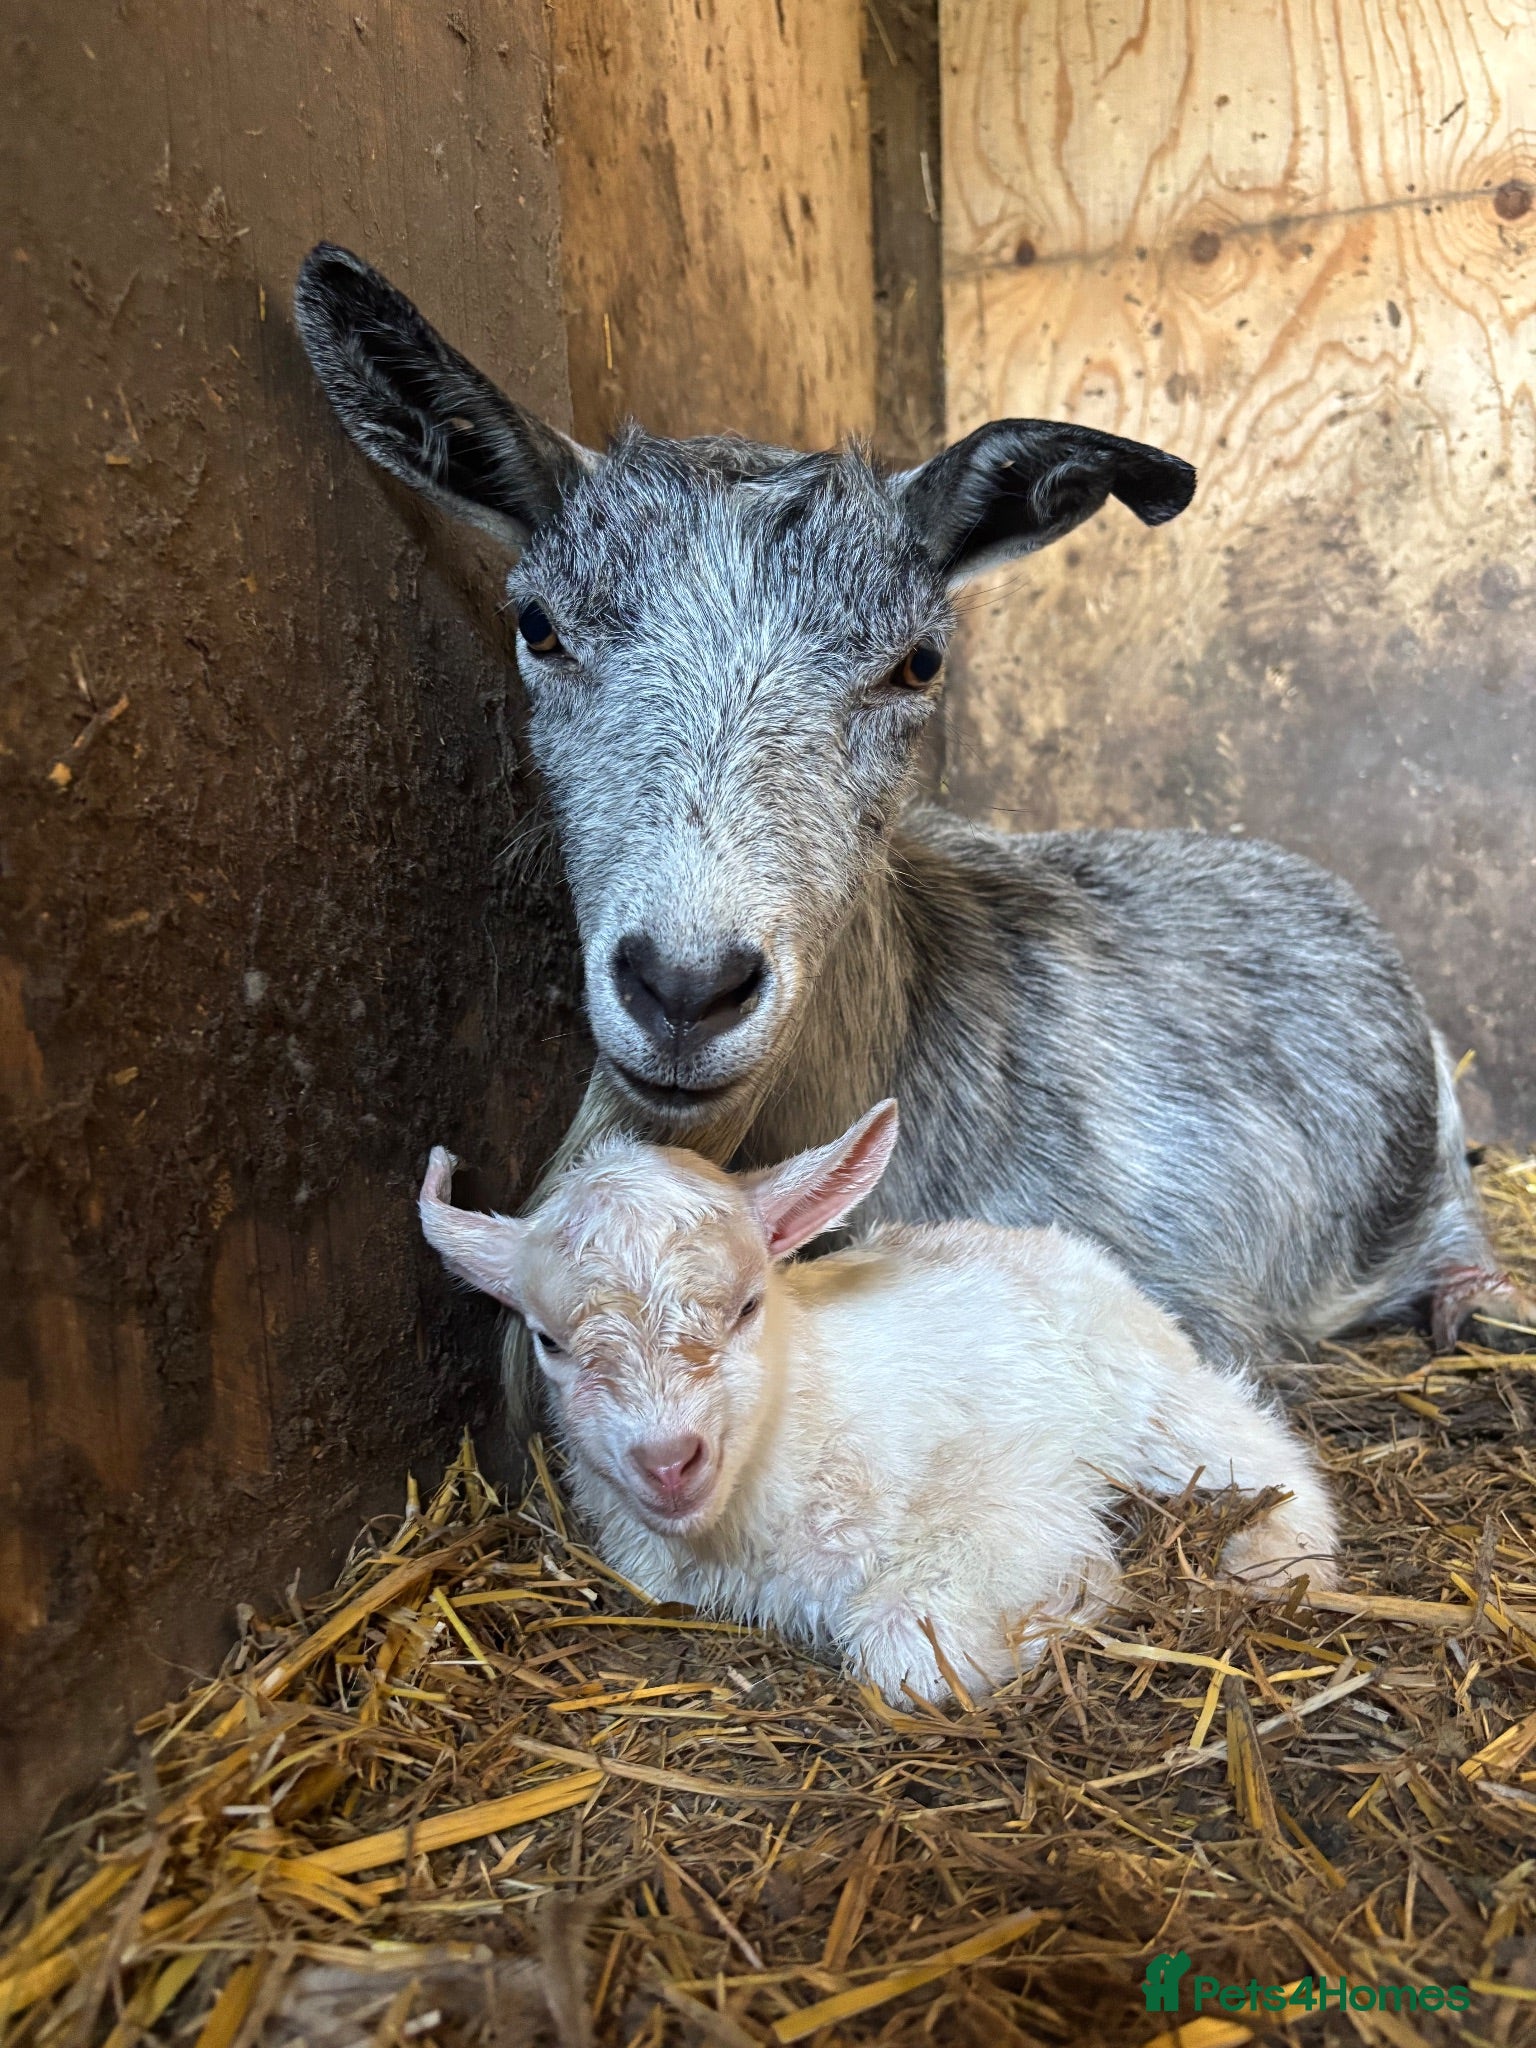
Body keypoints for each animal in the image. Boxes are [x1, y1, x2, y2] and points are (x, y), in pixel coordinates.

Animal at [419, 1103, 1338, 1705]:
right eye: (549, 1341)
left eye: (748, 1306)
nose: (669, 1461)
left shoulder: (1006, 1489)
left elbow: (908, 1649)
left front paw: (1071, 1602)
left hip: (1142, 1379)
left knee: (1256, 1444)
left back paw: (1275, 1557)